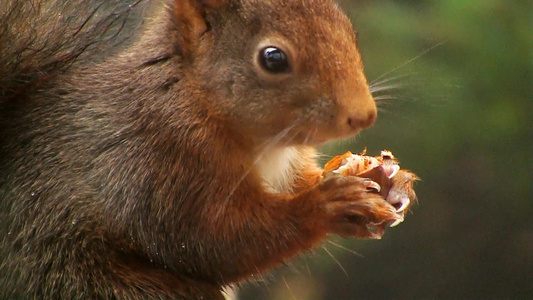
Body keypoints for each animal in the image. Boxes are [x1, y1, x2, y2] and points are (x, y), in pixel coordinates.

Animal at [0, 0, 410, 300]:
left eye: (348, 30)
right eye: (273, 58)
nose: (363, 116)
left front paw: (386, 178)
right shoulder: (160, 159)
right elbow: (209, 240)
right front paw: (327, 205)